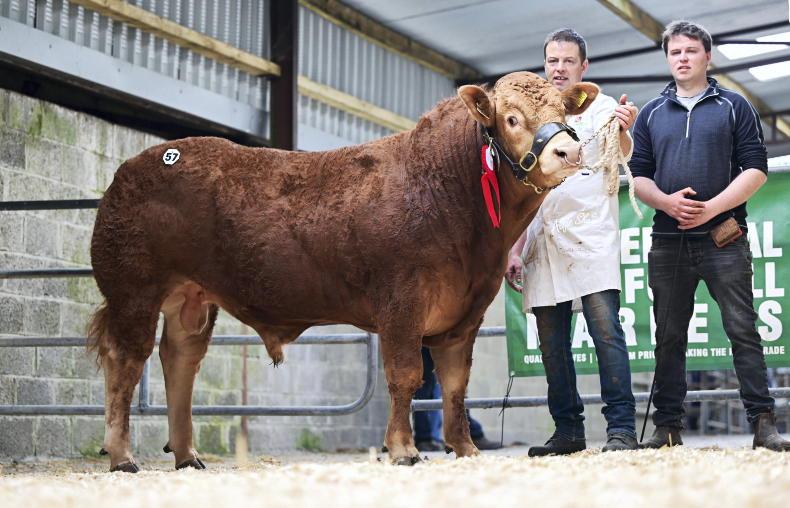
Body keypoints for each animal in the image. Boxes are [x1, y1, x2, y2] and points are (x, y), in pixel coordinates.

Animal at [87, 71, 598, 471]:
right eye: (511, 119)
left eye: (565, 113)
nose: (567, 153)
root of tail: (135, 165)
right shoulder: (402, 302)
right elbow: (406, 375)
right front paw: (403, 450)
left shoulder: (465, 312)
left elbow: (455, 385)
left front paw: (466, 449)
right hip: (133, 288)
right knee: (126, 360)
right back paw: (122, 456)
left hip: (191, 298)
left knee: (180, 361)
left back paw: (188, 455)